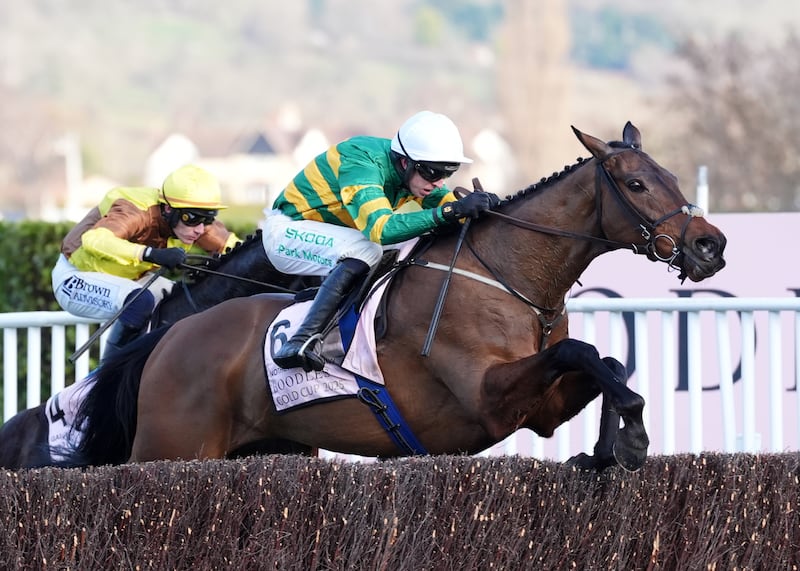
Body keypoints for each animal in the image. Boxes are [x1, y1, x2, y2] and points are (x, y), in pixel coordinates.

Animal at [65, 123, 724, 472]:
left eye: (671, 176)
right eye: (636, 183)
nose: (710, 244)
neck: (507, 280)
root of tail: (166, 337)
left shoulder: (537, 409)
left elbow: (601, 359)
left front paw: (610, 447)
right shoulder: (487, 399)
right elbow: (581, 353)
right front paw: (630, 434)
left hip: (269, 447)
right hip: (171, 448)